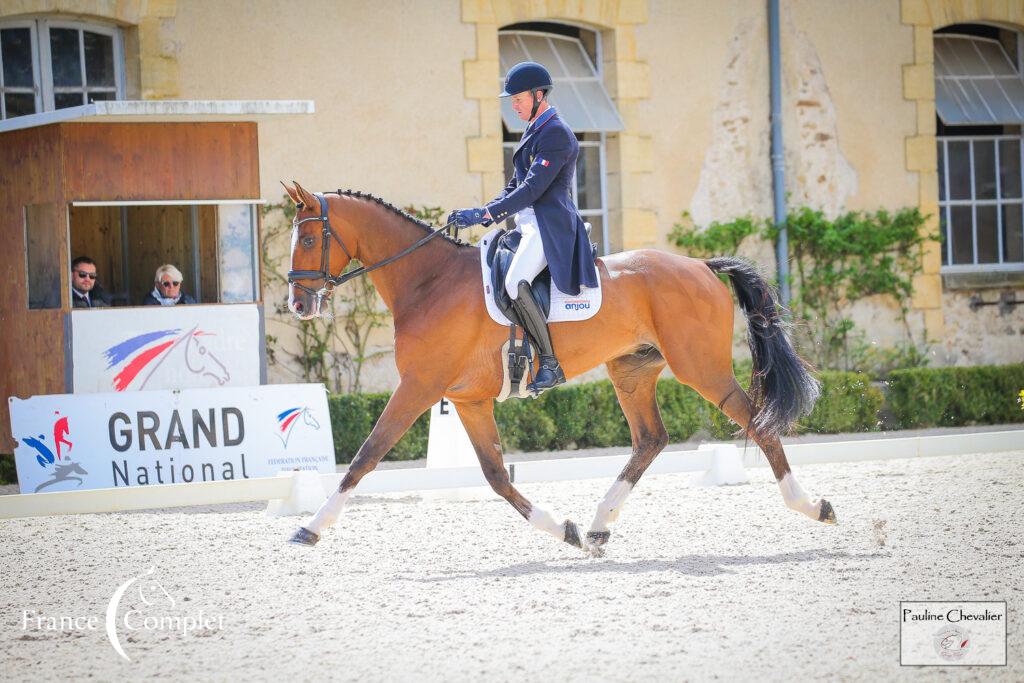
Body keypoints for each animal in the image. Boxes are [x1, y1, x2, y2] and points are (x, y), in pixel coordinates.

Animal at [280, 183, 831, 557]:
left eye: (307, 240)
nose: (298, 304)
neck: (427, 281)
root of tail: (700, 266)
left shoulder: (419, 387)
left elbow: (366, 456)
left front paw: (310, 526)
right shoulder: (467, 399)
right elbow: (496, 476)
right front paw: (563, 530)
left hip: (701, 368)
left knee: (758, 423)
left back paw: (810, 506)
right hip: (631, 371)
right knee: (650, 439)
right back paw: (598, 526)